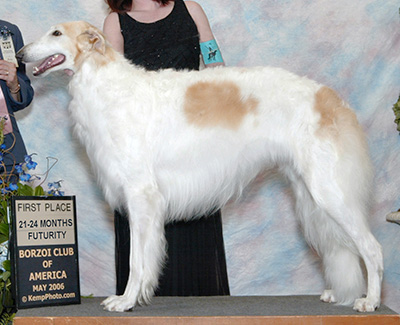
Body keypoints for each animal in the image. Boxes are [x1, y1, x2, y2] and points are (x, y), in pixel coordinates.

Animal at [17, 20, 382, 312]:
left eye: (56, 33)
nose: (19, 54)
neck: (106, 84)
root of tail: (331, 98)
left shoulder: (141, 195)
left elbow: (137, 261)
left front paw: (125, 301)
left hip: (329, 191)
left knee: (372, 249)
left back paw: (370, 301)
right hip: (310, 193)